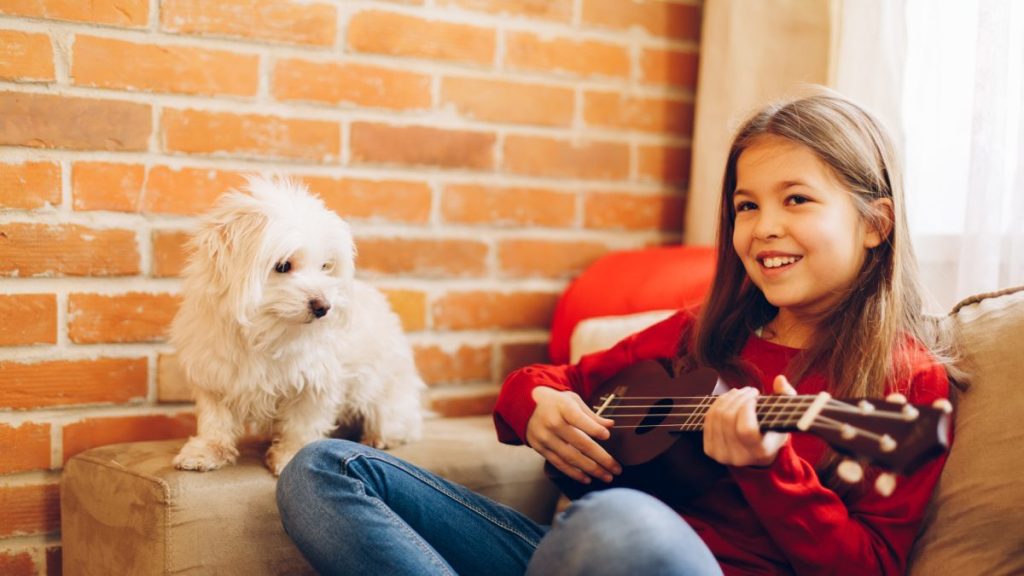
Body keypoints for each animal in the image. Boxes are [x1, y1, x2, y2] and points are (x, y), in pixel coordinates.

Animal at [171, 176, 423, 475]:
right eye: (283, 266)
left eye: (326, 266)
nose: (324, 306)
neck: (267, 329)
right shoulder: (213, 374)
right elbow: (215, 420)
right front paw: (207, 451)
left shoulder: (315, 382)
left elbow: (303, 423)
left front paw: (290, 455)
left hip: (384, 393)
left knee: (396, 421)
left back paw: (380, 437)